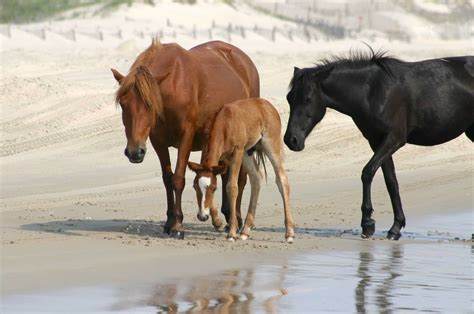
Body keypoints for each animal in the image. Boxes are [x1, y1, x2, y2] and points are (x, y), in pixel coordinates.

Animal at [111, 38, 260, 238]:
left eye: (149, 105)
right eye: (123, 104)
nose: (135, 152)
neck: (173, 88)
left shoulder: (186, 138)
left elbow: (178, 179)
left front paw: (178, 226)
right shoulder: (158, 142)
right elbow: (168, 180)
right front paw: (168, 222)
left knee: (240, 179)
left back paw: (235, 218)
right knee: (224, 174)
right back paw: (227, 216)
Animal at [188, 98, 292, 243]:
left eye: (214, 188)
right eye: (195, 187)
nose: (202, 216)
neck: (224, 122)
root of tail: (267, 105)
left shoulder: (236, 152)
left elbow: (232, 187)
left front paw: (232, 233)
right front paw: (218, 222)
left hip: (269, 145)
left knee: (282, 180)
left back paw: (289, 233)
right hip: (247, 153)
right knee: (256, 178)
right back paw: (246, 231)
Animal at [284, 50, 472, 239]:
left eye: (307, 99)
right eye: (289, 98)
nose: (290, 140)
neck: (373, 91)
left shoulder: (394, 139)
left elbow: (367, 173)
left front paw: (367, 223)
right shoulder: (377, 141)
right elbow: (391, 182)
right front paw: (395, 227)